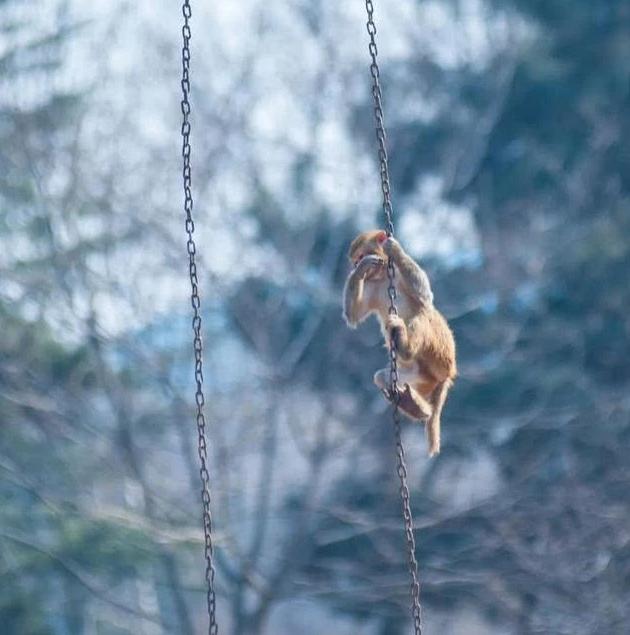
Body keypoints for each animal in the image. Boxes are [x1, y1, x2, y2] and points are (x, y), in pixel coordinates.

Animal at [344, 229, 456, 458]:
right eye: (356, 260)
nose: (356, 264)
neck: (381, 277)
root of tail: (446, 375)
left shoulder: (395, 271)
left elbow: (424, 295)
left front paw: (394, 248)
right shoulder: (370, 286)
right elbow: (353, 315)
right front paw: (360, 271)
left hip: (440, 354)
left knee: (423, 315)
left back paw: (405, 347)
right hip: (421, 376)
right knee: (383, 377)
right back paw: (417, 407)